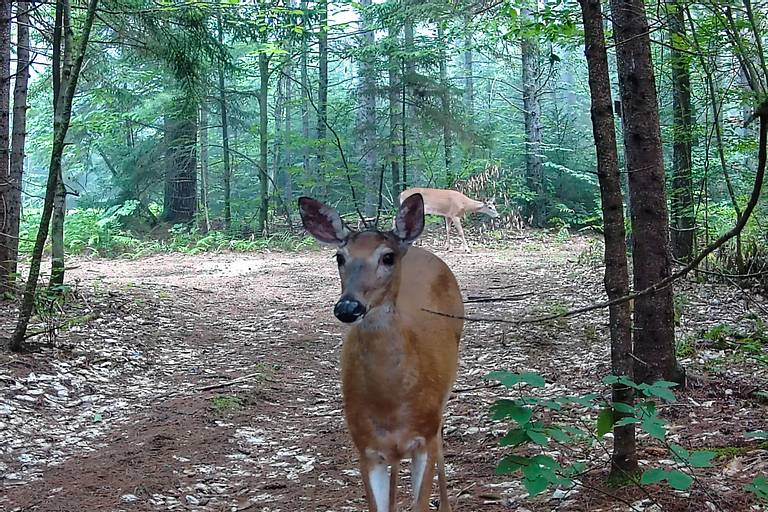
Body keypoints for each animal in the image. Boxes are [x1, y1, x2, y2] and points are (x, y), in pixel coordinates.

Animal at [298, 193, 464, 512]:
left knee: (441, 441)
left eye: (387, 257)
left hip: (444, 395)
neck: (391, 405)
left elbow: (421, 502)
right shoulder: (365, 447)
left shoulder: (423, 437)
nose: (348, 307)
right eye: (339, 257)